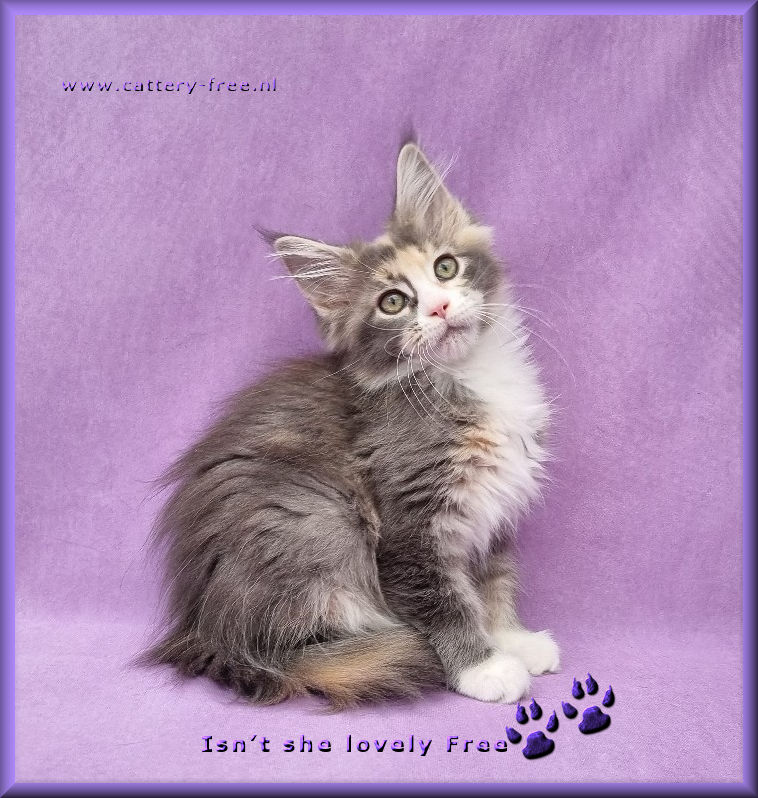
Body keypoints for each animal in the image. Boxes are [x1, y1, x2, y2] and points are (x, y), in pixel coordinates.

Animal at [141, 141, 560, 709]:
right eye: (393, 302)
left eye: (445, 267)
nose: (439, 306)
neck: (466, 376)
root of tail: (203, 632)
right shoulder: (410, 525)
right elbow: (445, 600)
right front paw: (484, 666)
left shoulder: (488, 516)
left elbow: (493, 582)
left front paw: (510, 639)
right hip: (320, 519)